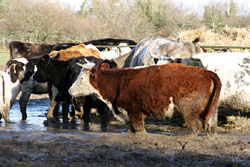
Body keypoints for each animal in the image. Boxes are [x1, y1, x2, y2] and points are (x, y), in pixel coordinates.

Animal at [68, 62, 221, 135]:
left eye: (82, 78)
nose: (69, 90)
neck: (118, 82)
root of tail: (206, 72)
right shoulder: (127, 116)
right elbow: (131, 130)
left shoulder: (135, 112)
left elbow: (140, 130)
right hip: (211, 111)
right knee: (211, 126)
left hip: (188, 111)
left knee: (195, 128)